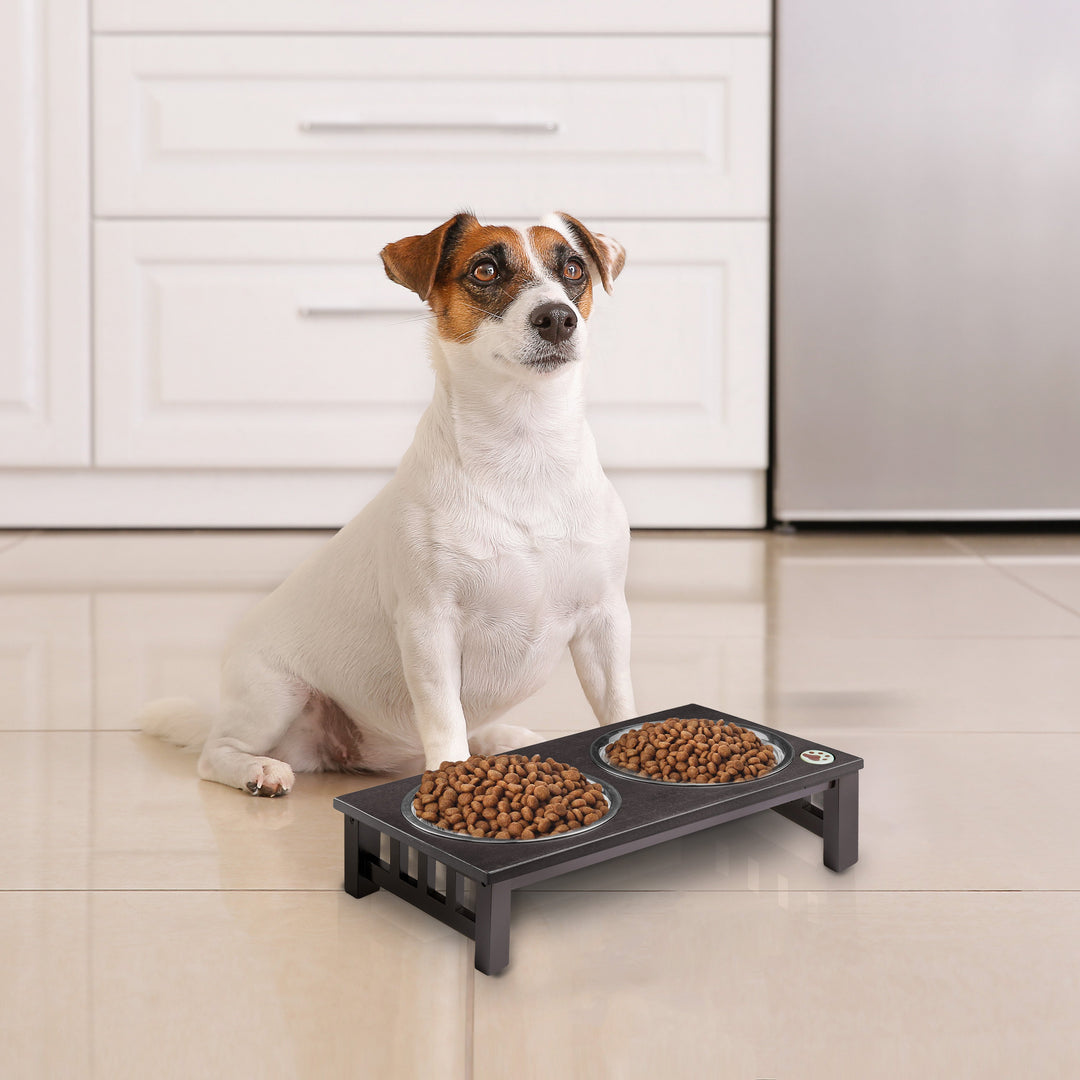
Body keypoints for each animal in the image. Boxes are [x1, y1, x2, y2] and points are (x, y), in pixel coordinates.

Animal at [140, 210, 635, 794]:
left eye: (574, 269)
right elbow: (445, 722)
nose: (557, 318)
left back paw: (504, 738)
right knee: (215, 754)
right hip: (274, 696)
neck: (525, 446)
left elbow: (619, 706)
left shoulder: (606, 622)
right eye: (485, 269)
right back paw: (258, 771)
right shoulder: (429, 627)